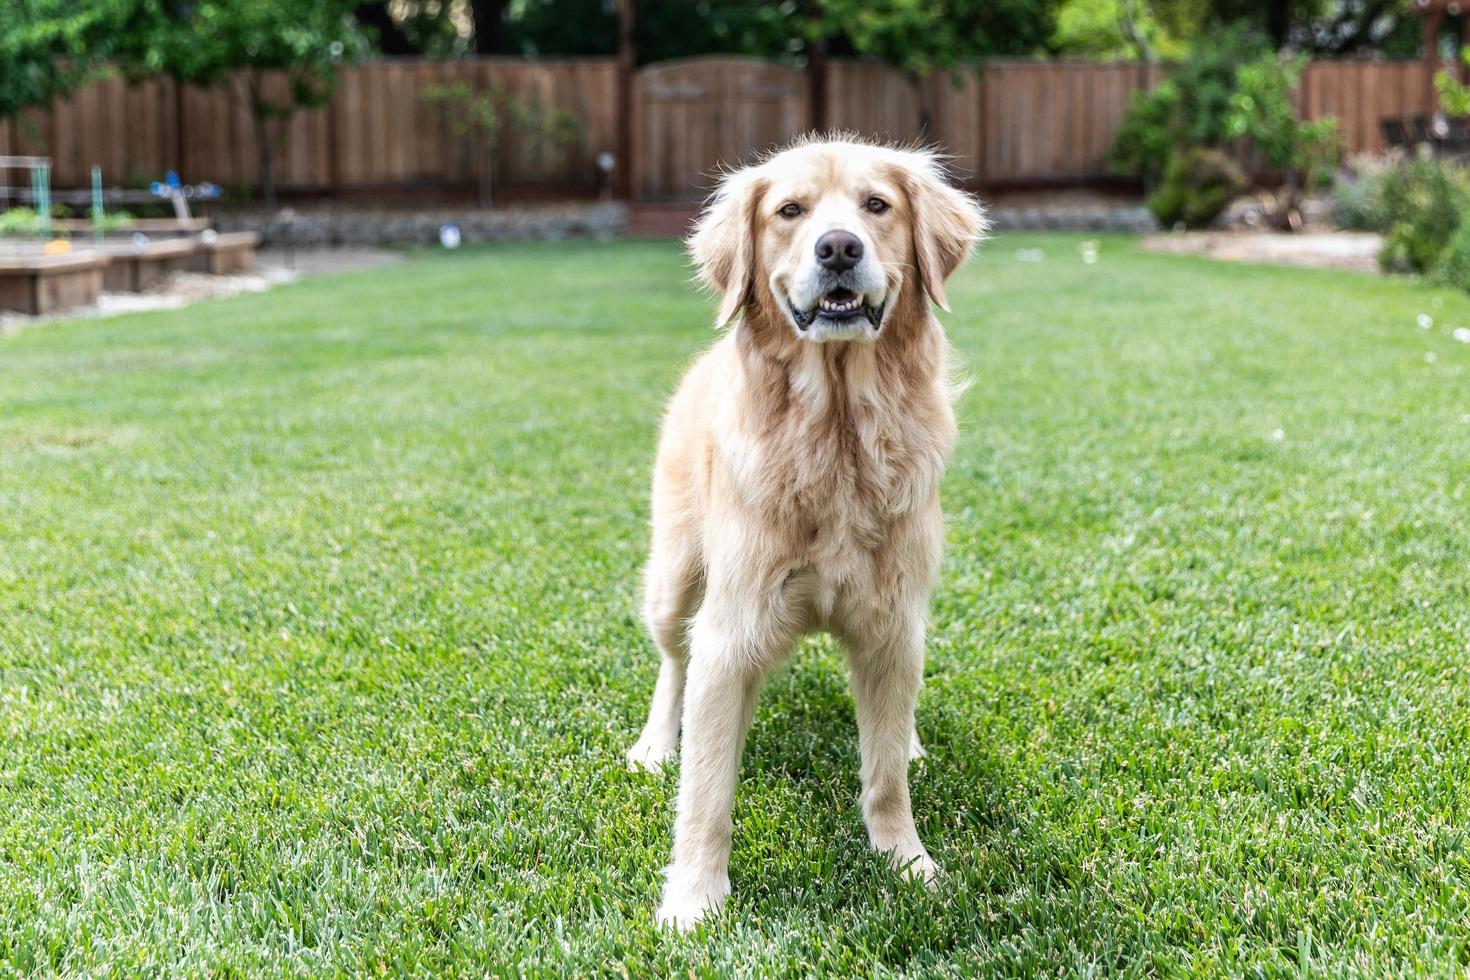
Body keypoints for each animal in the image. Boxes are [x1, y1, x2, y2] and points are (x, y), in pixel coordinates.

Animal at [623, 135, 981, 928]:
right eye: (789, 211)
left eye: (878, 205)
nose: (839, 247)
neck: (838, 432)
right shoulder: (730, 633)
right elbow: (706, 792)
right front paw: (695, 898)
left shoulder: (892, 621)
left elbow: (884, 775)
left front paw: (906, 862)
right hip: (675, 580)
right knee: (671, 663)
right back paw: (656, 743)